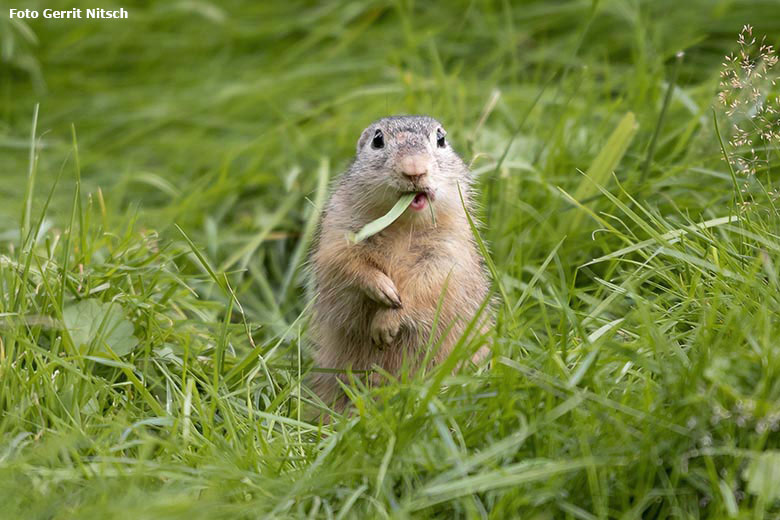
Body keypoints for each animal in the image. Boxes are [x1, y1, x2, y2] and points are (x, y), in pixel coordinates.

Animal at [308, 115, 490, 410]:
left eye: (441, 139)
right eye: (377, 140)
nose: (414, 170)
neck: (404, 225)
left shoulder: (450, 249)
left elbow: (428, 283)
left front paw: (387, 321)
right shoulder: (338, 230)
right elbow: (343, 262)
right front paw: (381, 288)